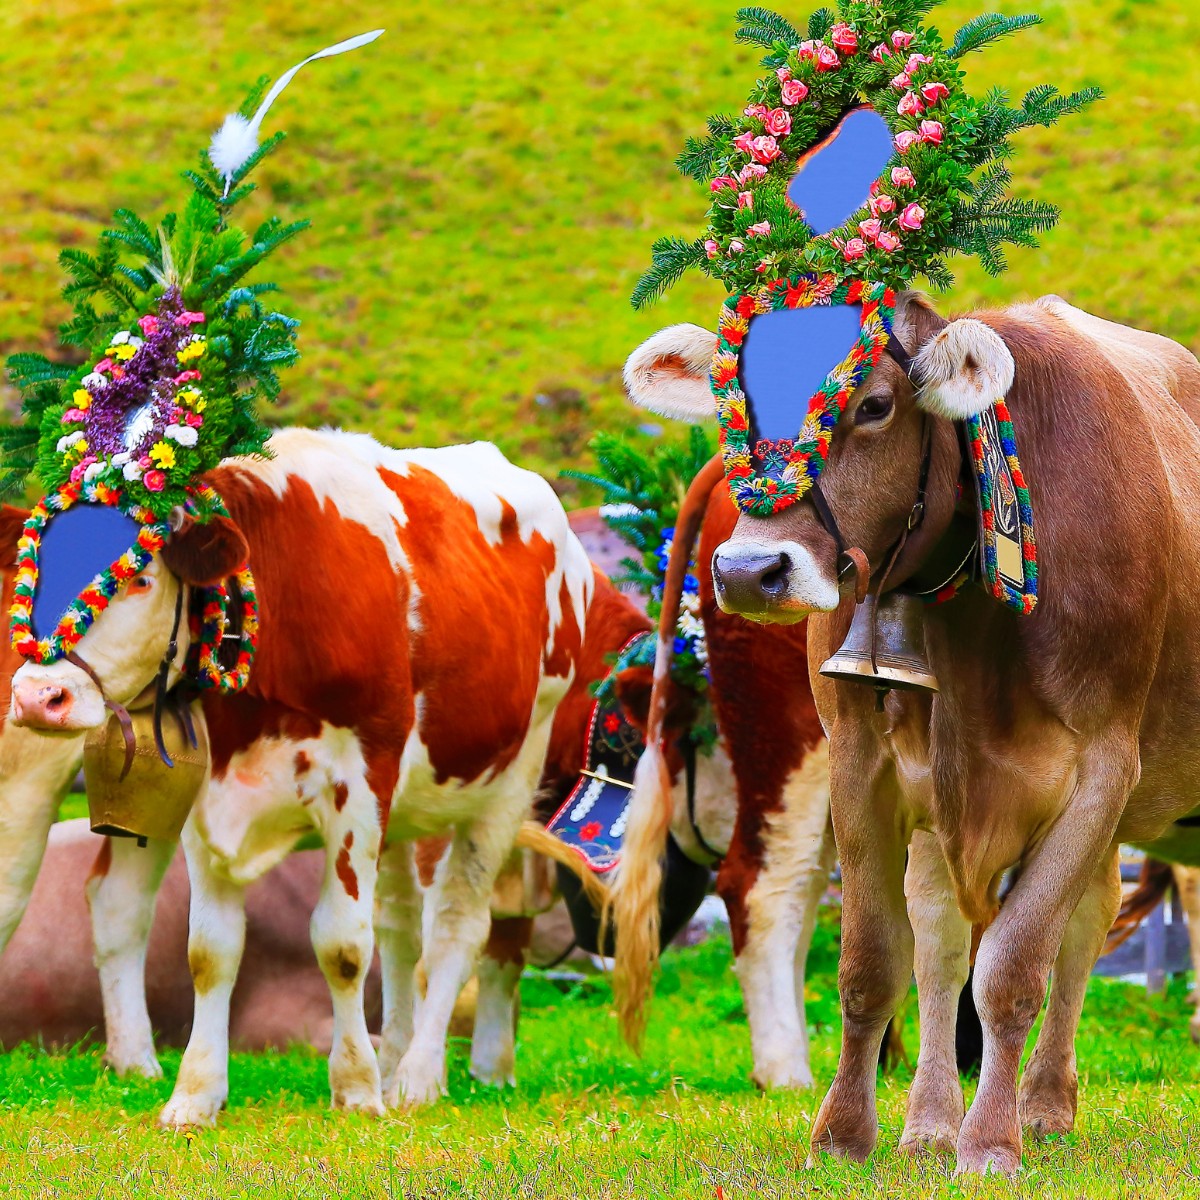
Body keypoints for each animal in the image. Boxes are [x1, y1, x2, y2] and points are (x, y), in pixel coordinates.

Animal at [4, 432, 595, 1123]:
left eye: (140, 578)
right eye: (34, 571)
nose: (38, 697)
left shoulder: (361, 785)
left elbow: (342, 945)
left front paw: (357, 1091)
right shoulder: (210, 797)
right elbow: (210, 950)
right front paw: (195, 1096)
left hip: (508, 782)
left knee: (456, 926)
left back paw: (418, 1077)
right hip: (408, 810)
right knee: (400, 929)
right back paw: (396, 1055)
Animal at [624, 295, 1200, 1176]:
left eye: (872, 405)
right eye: (732, 405)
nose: (748, 573)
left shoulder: (1104, 770)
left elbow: (1014, 967)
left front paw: (990, 1143)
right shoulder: (861, 764)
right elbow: (874, 961)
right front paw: (842, 1136)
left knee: (1067, 933)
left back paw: (1030, 1109)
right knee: (936, 942)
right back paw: (935, 1122)